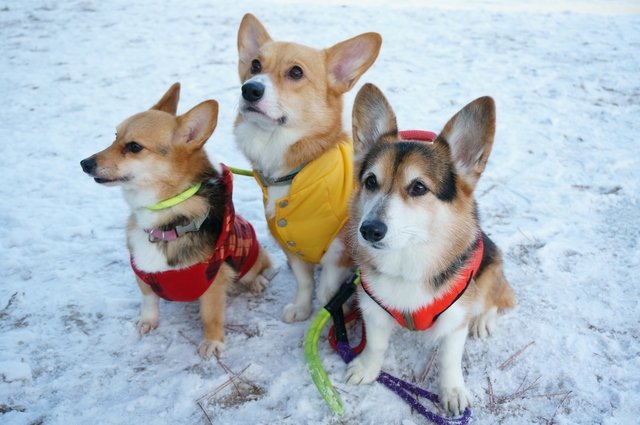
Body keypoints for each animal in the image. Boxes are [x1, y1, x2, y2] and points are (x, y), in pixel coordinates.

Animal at [80, 83, 272, 358]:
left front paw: (212, 341)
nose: (84, 163)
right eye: (115, 136)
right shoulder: (143, 272)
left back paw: (257, 282)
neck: (163, 218)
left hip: (250, 258)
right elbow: (149, 299)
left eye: (134, 146)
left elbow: (210, 315)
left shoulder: (213, 281)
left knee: (261, 267)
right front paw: (147, 321)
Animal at [236, 14, 382, 322]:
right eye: (255, 65)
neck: (298, 173)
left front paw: (334, 315)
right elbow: (304, 282)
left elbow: (327, 291)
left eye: (295, 72)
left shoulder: (341, 249)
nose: (250, 89)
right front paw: (301, 308)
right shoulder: (291, 246)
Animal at [344, 83, 516, 414]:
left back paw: (483, 321)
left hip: (490, 270)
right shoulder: (372, 308)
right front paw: (367, 368)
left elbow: (449, 360)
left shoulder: (455, 320)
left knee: (497, 298)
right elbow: (376, 343)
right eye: (370, 181)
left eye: (418, 187)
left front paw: (452, 392)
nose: (369, 230)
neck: (407, 262)